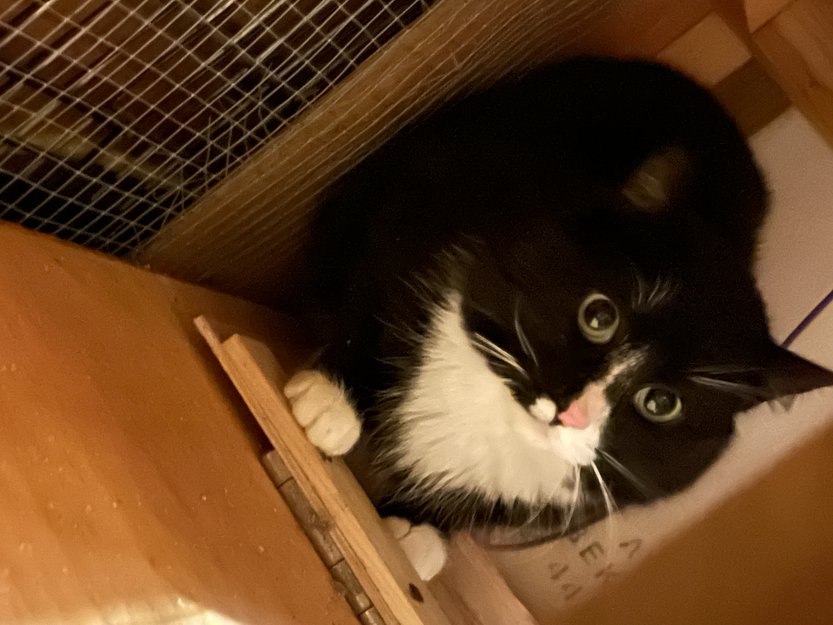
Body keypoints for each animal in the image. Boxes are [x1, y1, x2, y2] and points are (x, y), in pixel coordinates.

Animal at [283, 56, 833, 580]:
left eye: (661, 403)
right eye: (600, 316)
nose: (571, 411)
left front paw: (416, 530)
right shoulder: (419, 215)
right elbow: (372, 298)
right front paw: (333, 400)